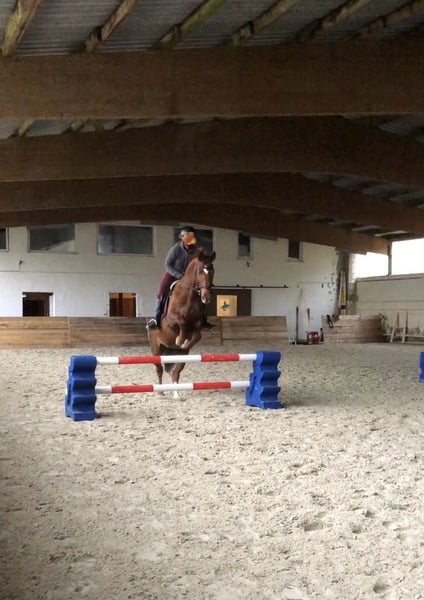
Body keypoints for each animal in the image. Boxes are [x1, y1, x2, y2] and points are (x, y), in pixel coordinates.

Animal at [147, 248, 216, 394]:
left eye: (212, 271)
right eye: (200, 271)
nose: (206, 298)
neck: (190, 296)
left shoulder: (197, 325)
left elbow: (197, 336)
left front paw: (185, 343)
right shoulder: (171, 321)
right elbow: (182, 323)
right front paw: (180, 340)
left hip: (177, 355)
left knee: (175, 372)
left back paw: (176, 393)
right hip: (156, 349)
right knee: (159, 369)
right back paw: (160, 391)